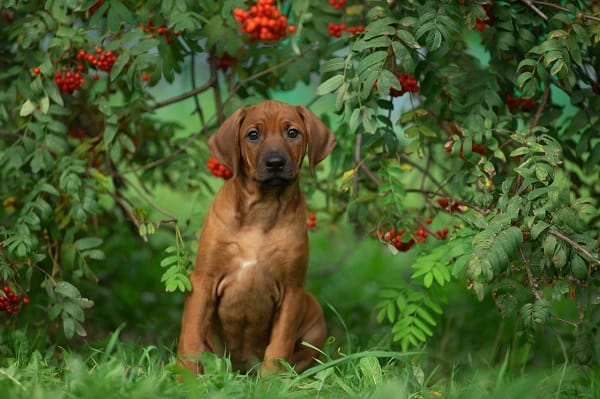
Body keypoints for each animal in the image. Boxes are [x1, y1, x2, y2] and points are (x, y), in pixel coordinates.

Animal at [178, 100, 338, 376]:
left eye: (292, 133)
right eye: (253, 135)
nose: (275, 163)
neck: (262, 209)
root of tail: (242, 371)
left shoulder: (293, 290)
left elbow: (278, 347)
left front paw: (271, 382)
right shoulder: (203, 281)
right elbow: (191, 338)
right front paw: (185, 378)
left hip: (312, 310)